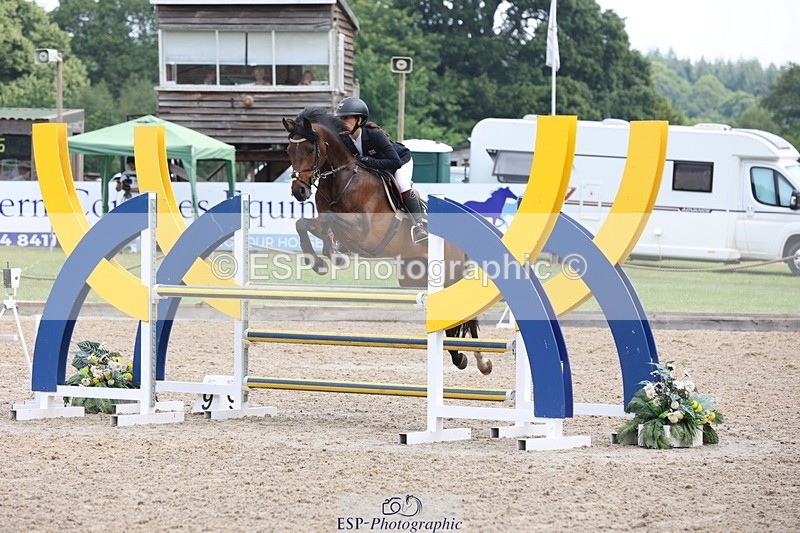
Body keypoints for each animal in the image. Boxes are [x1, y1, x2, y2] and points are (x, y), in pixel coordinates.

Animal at [282, 108, 493, 375]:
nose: (298, 191)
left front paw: (327, 256)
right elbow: (307, 224)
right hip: (415, 277)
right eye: (289, 151)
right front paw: (323, 259)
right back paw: (459, 356)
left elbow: (330, 222)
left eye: (310, 149)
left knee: (465, 312)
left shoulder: (365, 231)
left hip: (450, 274)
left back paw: (481, 360)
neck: (341, 179)